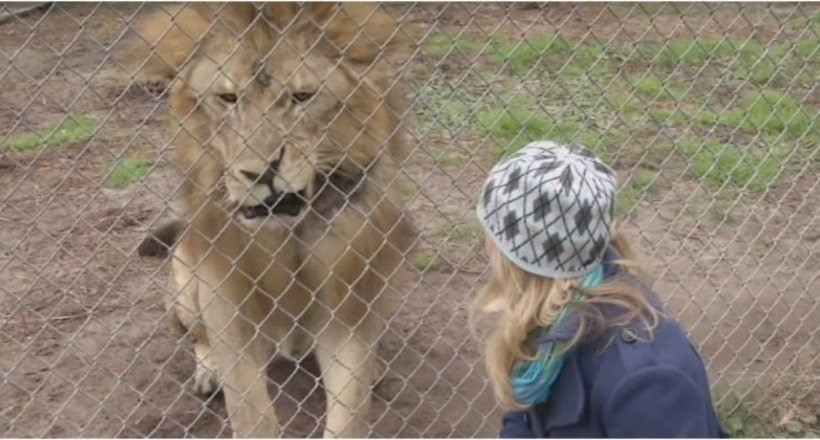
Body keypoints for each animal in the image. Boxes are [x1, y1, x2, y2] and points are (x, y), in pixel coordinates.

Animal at [126, 3, 416, 436]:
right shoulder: (226, 300)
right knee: (198, 339)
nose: (262, 173)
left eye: (302, 97)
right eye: (228, 98)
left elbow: (349, 409)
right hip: (185, 280)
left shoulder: (347, 300)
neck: (285, 234)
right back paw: (208, 373)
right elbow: (250, 410)